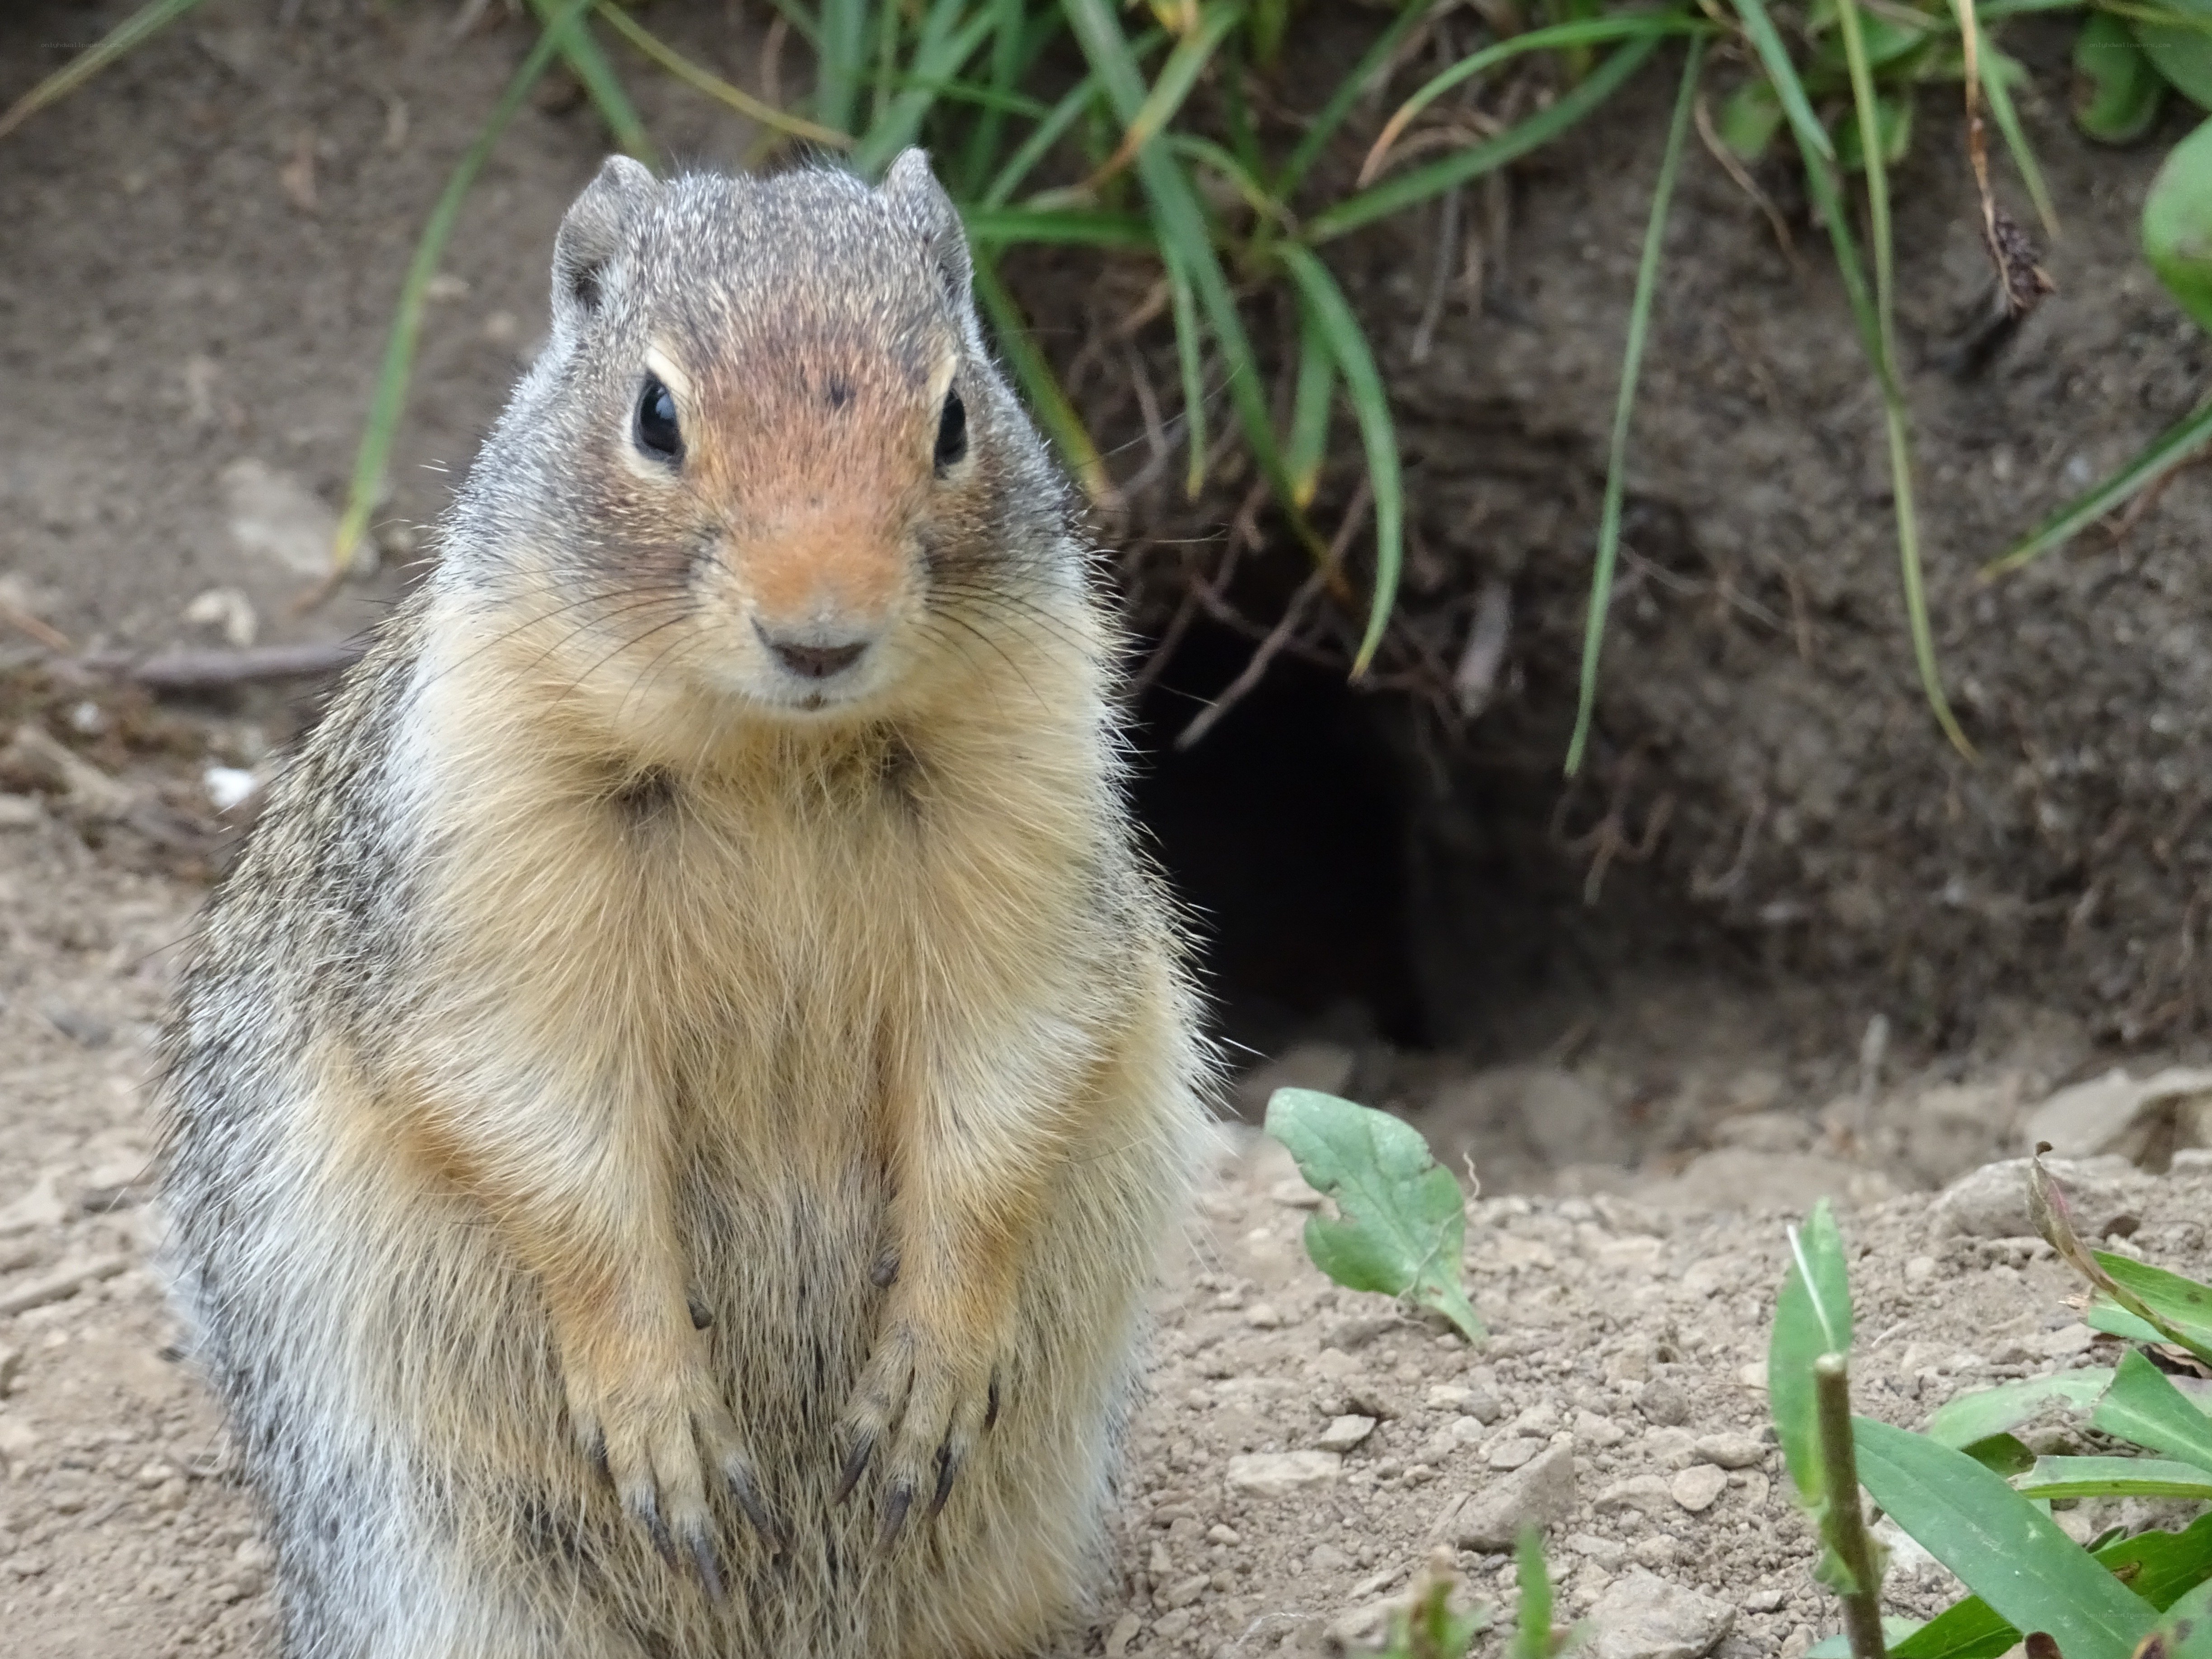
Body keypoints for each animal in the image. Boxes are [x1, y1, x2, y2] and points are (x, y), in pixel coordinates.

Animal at [157, 150, 1212, 1659]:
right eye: (655, 416)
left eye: (956, 414)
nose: (820, 631)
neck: (773, 753)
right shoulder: (490, 872)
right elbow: (558, 1148)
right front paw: (665, 1424)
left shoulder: (1030, 832)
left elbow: (997, 1096)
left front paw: (927, 1380)